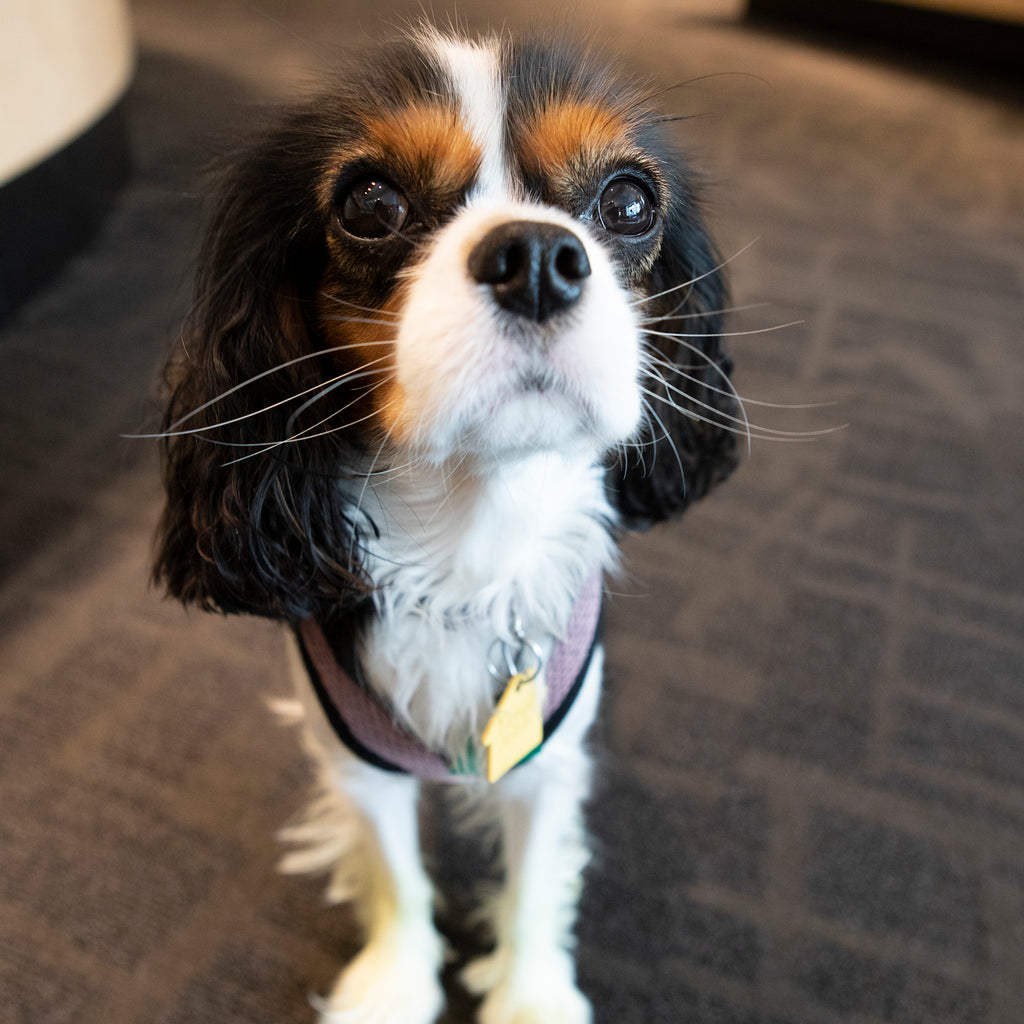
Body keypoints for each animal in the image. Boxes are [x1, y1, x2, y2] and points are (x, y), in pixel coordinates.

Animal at [151, 24, 737, 1024]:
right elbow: (394, 873)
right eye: (370, 203)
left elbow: (534, 882)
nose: (538, 255)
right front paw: (394, 982)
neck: (472, 529)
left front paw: (531, 995)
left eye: (628, 201)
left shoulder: (546, 749)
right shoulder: (353, 756)